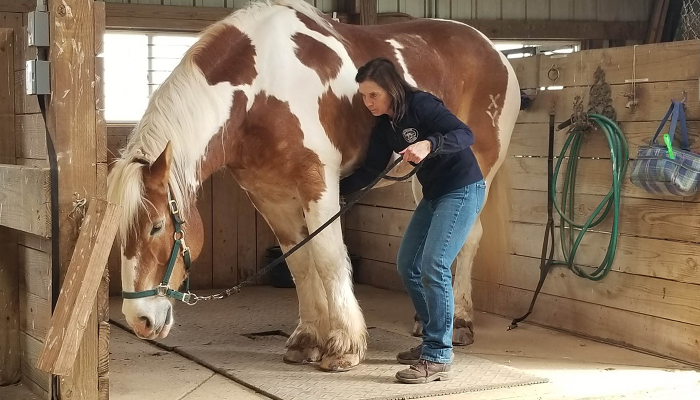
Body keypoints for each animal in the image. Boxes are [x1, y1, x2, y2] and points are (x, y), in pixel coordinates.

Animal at [106, 0, 519, 372]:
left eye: (157, 226)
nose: (139, 318)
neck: (262, 89)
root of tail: (494, 53)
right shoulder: (270, 196)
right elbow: (300, 262)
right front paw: (307, 340)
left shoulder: (317, 183)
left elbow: (329, 259)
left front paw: (344, 347)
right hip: (420, 177)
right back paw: (426, 321)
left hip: (480, 167)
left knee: (468, 237)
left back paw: (460, 321)